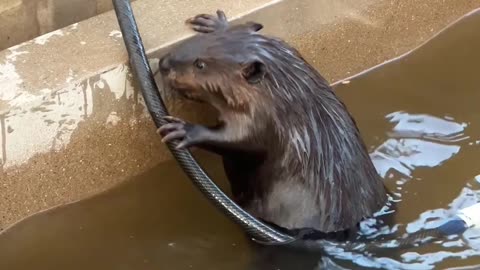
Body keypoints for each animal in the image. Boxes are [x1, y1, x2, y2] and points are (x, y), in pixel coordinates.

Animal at [158, 10, 390, 236]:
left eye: (200, 64)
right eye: (201, 39)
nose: (163, 64)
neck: (285, 88)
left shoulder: (269, 120)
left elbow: (240, 139)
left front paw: (181, 129)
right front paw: (213, 22)